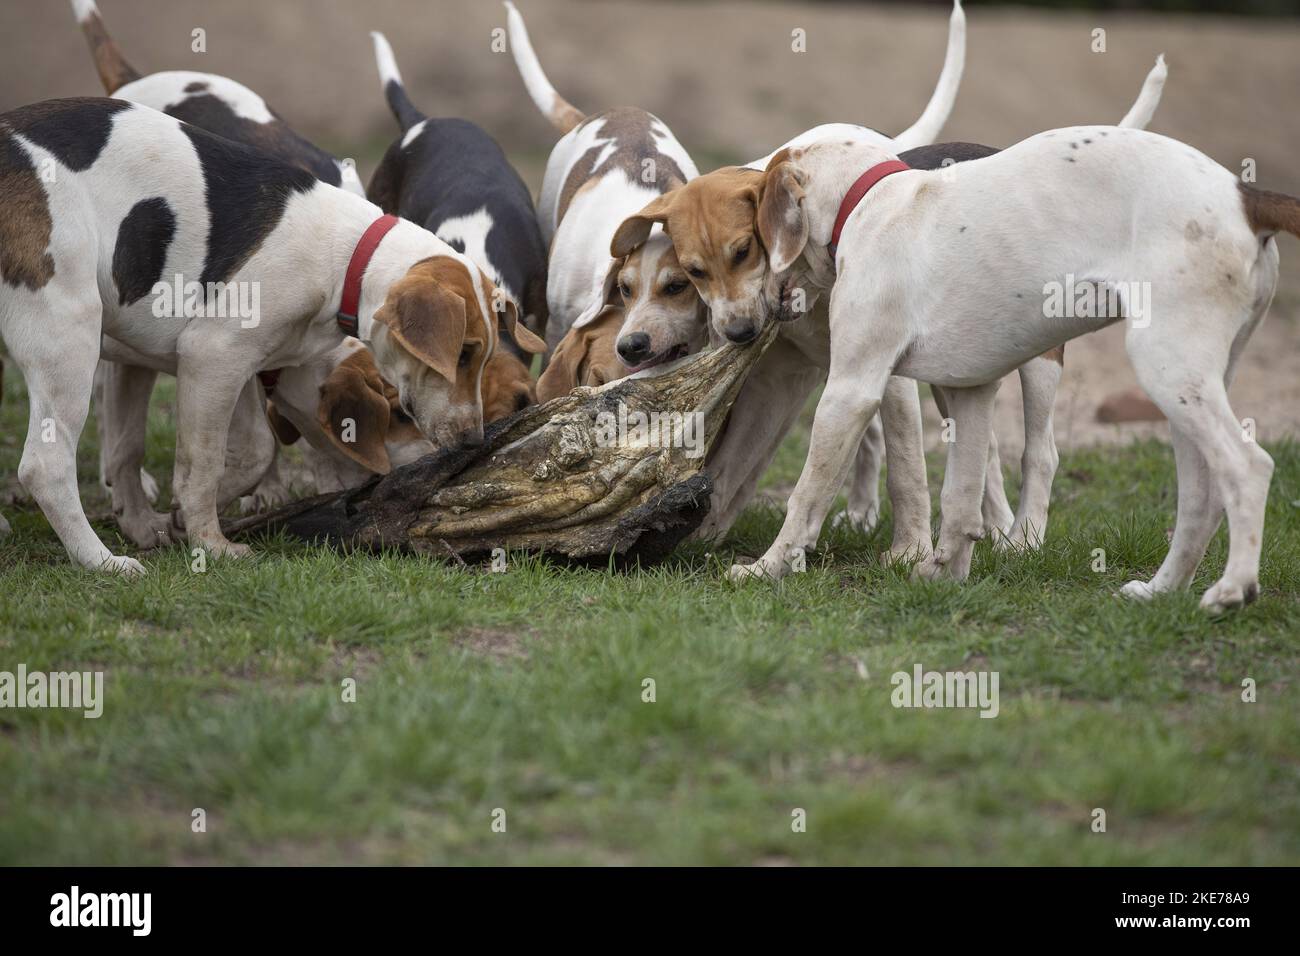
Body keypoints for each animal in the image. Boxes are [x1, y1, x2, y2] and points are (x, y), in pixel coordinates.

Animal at [0, 97, 538, 574]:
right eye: (463, 354)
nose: (473, 441)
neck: (348, 258)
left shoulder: (230, 365)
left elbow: (238, 450)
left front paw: (163, 518)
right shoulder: (213, 357)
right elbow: (202, 465)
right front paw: (209, 544)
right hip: (70, 337)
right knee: (45, 467)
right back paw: (101, 561)